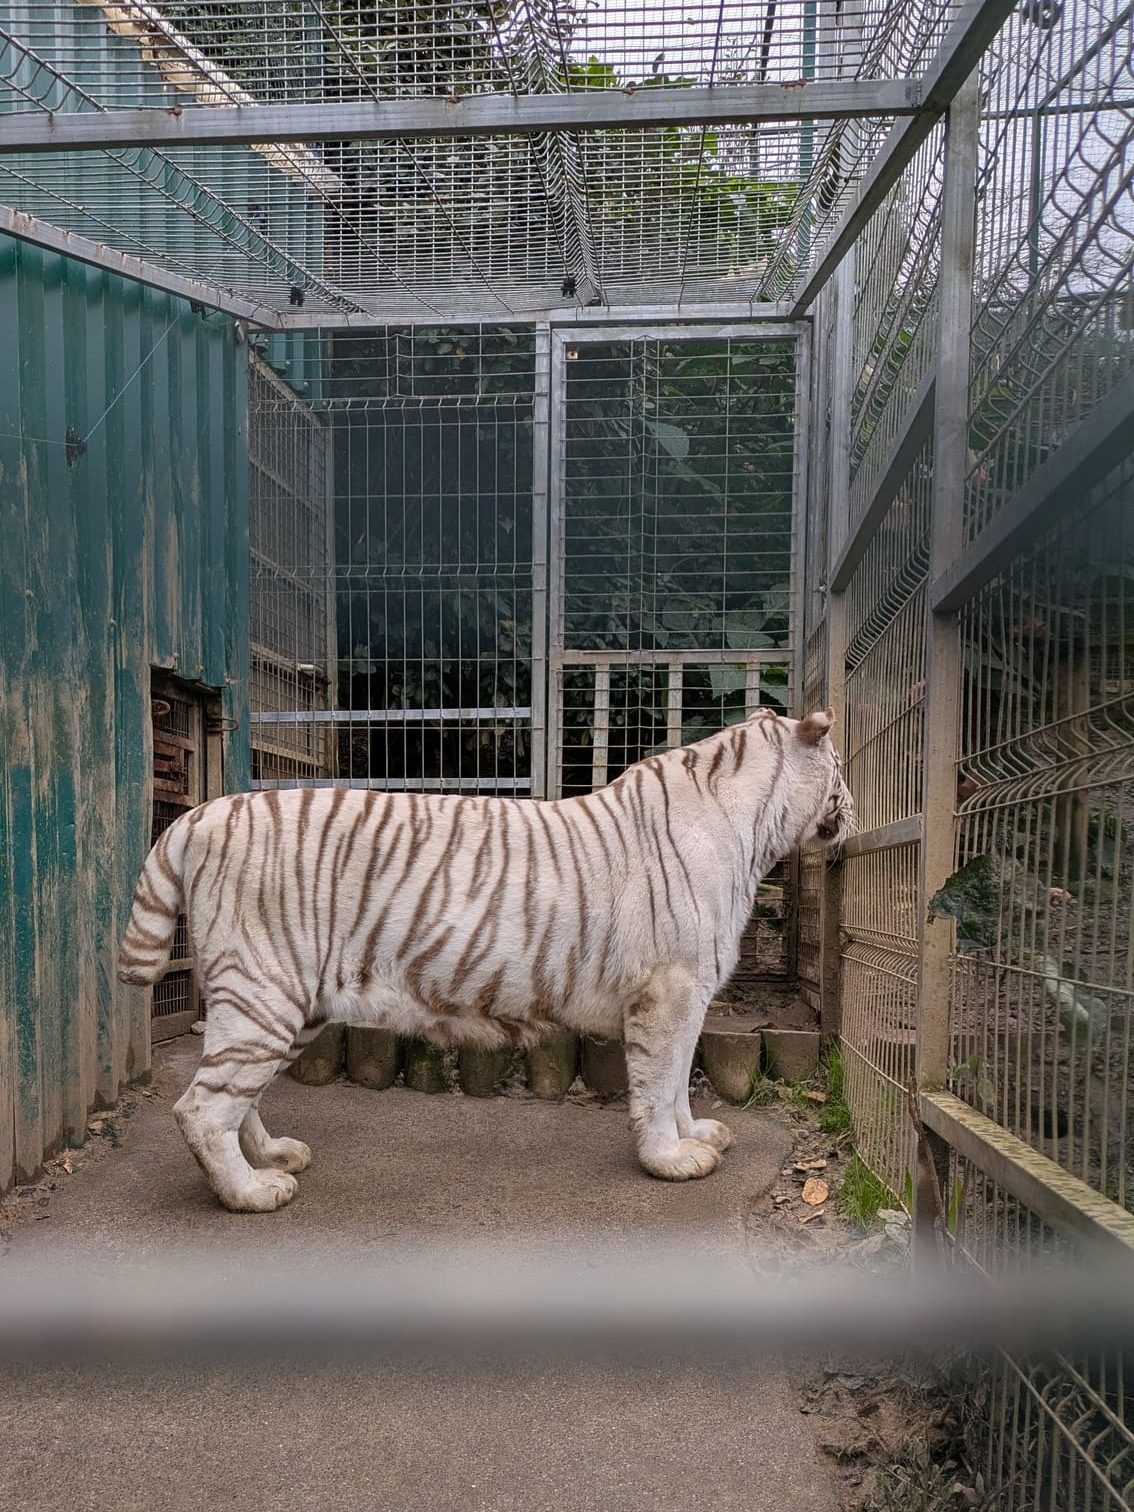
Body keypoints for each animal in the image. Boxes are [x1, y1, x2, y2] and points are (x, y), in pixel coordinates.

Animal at [118, 706, 854, 1212]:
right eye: (842, 768)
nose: (851, 809)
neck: (754, 830)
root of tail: (202, 814)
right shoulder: (668, 992)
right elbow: (659, 1081)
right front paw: (670, 1160)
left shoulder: (691, 993)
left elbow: (677, 1085)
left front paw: (696, 1134)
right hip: (265, 992)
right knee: (201, 1108)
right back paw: (251, 1192)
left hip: (282, 1005)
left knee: (237, 1094)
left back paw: (274, 1155)